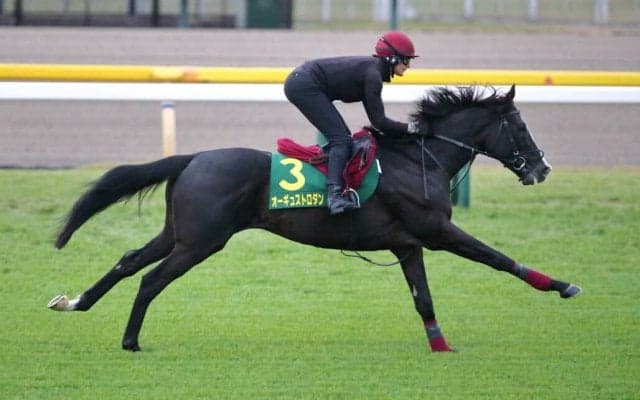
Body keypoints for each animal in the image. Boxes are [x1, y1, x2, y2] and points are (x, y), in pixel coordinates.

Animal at [48, 85, 581, 352]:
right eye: (519, 125)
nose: (542, 167)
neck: (419, 160)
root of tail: (193, 157)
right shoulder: (437, 231)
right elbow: (498, 258)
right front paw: (563, 286)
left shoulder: (407, 243)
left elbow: (423, 299)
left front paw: (440, 346)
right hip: (200, 242)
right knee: (150, 279)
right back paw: (130, 340)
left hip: (178, 232)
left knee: (128, 261)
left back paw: (76, 302)